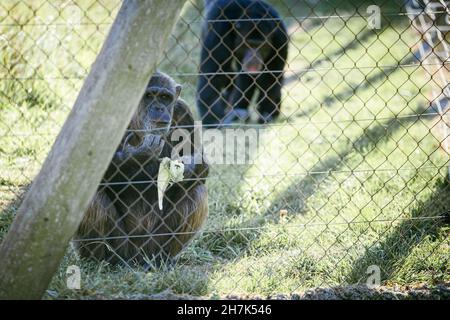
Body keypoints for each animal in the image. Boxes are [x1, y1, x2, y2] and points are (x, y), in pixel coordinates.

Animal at [76, 71, 210, 266]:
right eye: (149, 96)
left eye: (165, 97)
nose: (159, 108)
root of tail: (136, 258)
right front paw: (139, 154)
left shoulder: (183, 111)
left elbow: (199, 160)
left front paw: (185, 168)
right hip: (122, 246)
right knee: (89, 195)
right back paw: (101, 262)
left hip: (152, 245)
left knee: (196, 192)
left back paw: (162, 260)